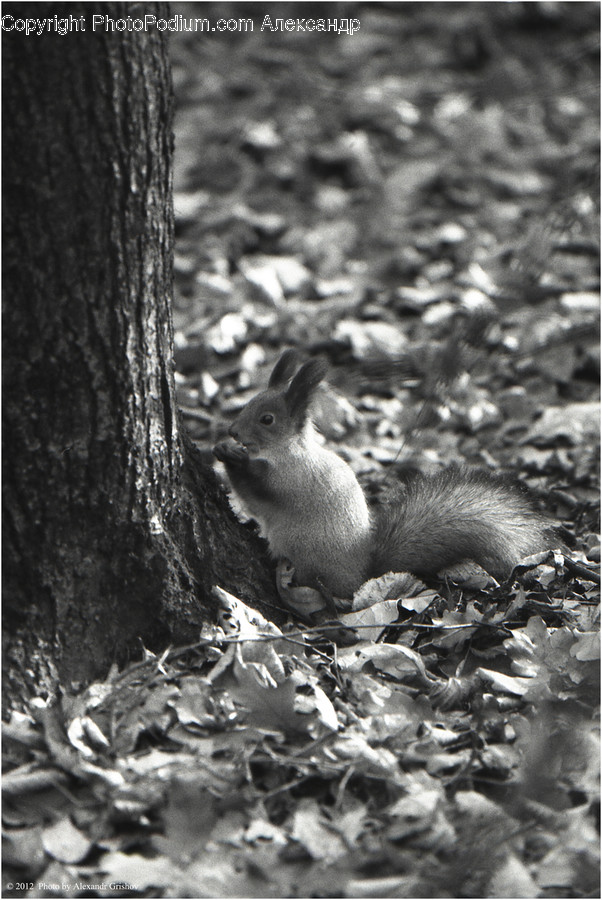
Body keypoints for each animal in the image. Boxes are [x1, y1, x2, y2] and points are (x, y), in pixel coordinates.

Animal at [213, 350, 555, 600]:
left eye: (267, 419)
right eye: (248, 403)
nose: (233, 431)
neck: (287, 451)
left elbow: (255, 491)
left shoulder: (289, 481)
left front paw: (229, 455)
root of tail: (363, 574)